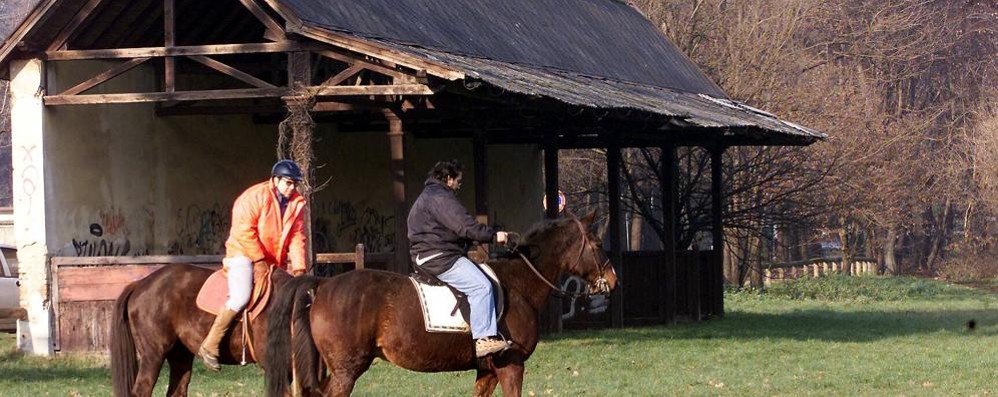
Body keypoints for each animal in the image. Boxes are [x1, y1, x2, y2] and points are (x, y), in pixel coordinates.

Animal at [262, 213, 616, 396]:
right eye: (598, 243)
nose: (612, 280)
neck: (520, 284)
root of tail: (323, 285)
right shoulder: (511, 366)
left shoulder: (487, 371)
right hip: (346, 371)